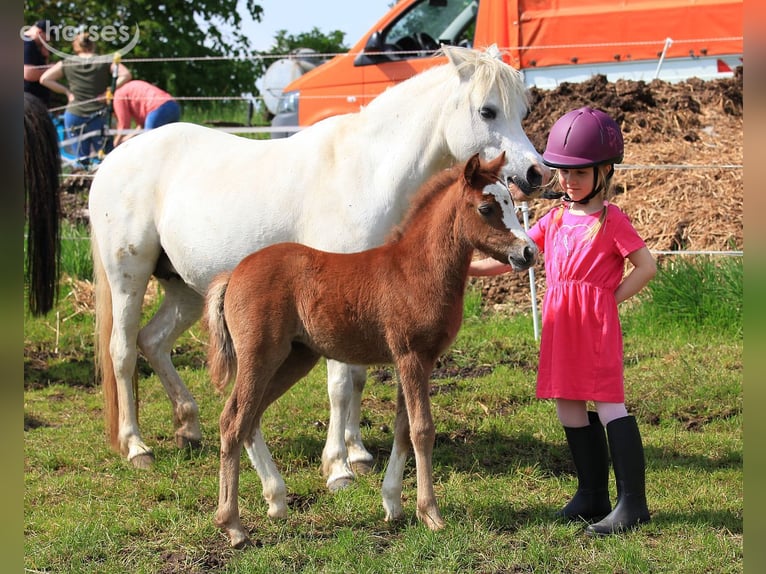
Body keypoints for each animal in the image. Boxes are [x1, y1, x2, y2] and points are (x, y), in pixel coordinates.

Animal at [89, 45, 550, 485]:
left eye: (522, 111)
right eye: (487, 110)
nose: (536, 173)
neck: (369, 175)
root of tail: (112, 159)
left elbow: (358, 378)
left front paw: (358, 453)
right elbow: (340, 384)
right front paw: (338, 467)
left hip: (184, 289)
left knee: (154, 341)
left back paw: (187, 427)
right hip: (128, 279)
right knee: (123, 351)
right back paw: (136, 446)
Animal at [205, 152, 537, 548]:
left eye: (513, 204)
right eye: (487, 208)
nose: (528, 252)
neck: (417, 270)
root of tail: (233, 274)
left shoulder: (416, 361)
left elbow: (402, 429)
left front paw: (393, 505)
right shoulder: (411, 357)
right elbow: (422, 430)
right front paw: (431, 514)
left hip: (296, 357)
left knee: (249, 418)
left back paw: (277, 501)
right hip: (260, 356)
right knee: (232, 421)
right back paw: (233, 524)